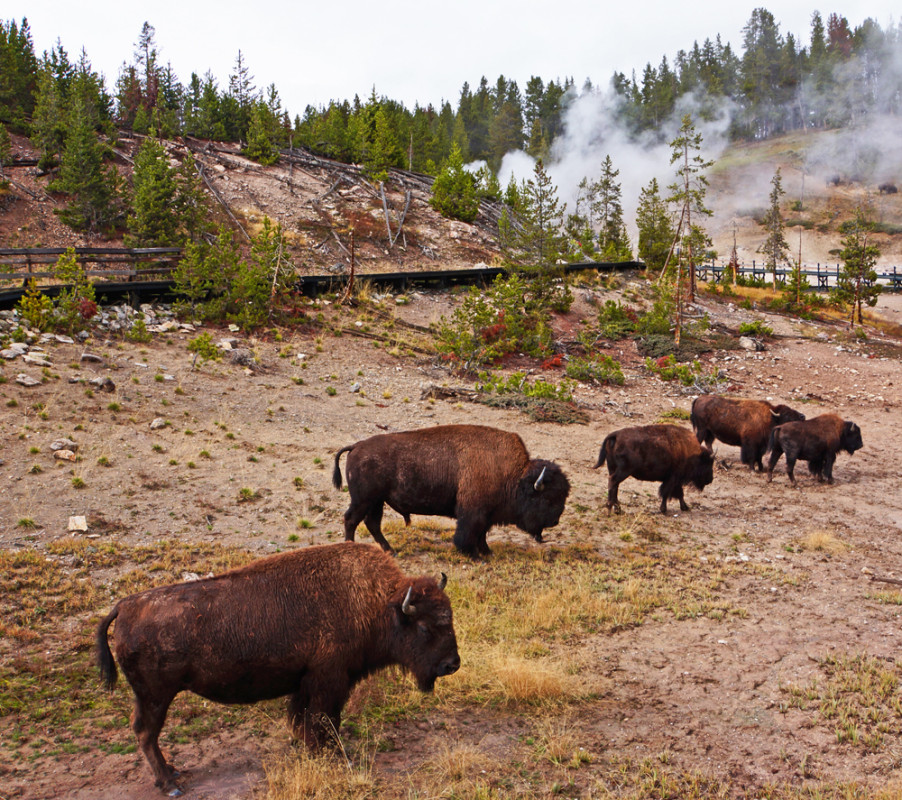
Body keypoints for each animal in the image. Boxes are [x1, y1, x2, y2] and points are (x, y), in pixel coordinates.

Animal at [96, 540, 462, 796]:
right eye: (425, 627)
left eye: (449, 619)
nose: (452, 664)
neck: (379, 604)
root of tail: (124, 606)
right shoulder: (330, 682)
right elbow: (326, 721)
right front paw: (334, 757)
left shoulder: (306, 683)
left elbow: (305, 720)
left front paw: (311, 750)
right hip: (155, 696)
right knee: (146, 733)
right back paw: (170, 783)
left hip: (151, 696)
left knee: (145, 733)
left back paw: (172, 773)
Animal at [332, 424, 572, 556]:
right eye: (548, 499)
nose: (555, 521)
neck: (514, 476)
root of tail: (356, 446)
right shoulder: (473, 512)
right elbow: (468, 534)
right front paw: (473, 555)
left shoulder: (486, 515)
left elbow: (482, 534)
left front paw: (487, 552)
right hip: (364, 500)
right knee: (351, 519)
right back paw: (351, 547)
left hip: (376, 501)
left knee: (371, 523)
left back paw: (391, 551)